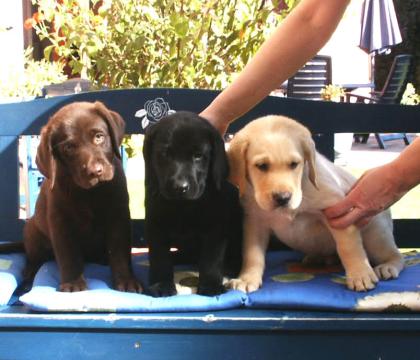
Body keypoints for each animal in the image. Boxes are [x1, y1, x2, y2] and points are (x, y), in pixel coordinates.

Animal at [144, 111, 243, 296]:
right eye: (165, 154)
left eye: (198, 156)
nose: (179, 187)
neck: (184, 207)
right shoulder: (155, 224)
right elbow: (160, 258)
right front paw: (161, 284)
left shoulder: (216, 227)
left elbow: (211, 258)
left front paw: (210, 285)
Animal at [226, 115, 404, 292]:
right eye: (261, 166)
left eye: (294, 164)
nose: (283, 198)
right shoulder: (255, 221)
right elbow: (252, 253)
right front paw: (247, 278)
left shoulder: (337, 211)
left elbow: (348, 247)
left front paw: (360, 274)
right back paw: (318, 258)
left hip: (376, 234)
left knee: (395, 254)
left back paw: (387, 266)